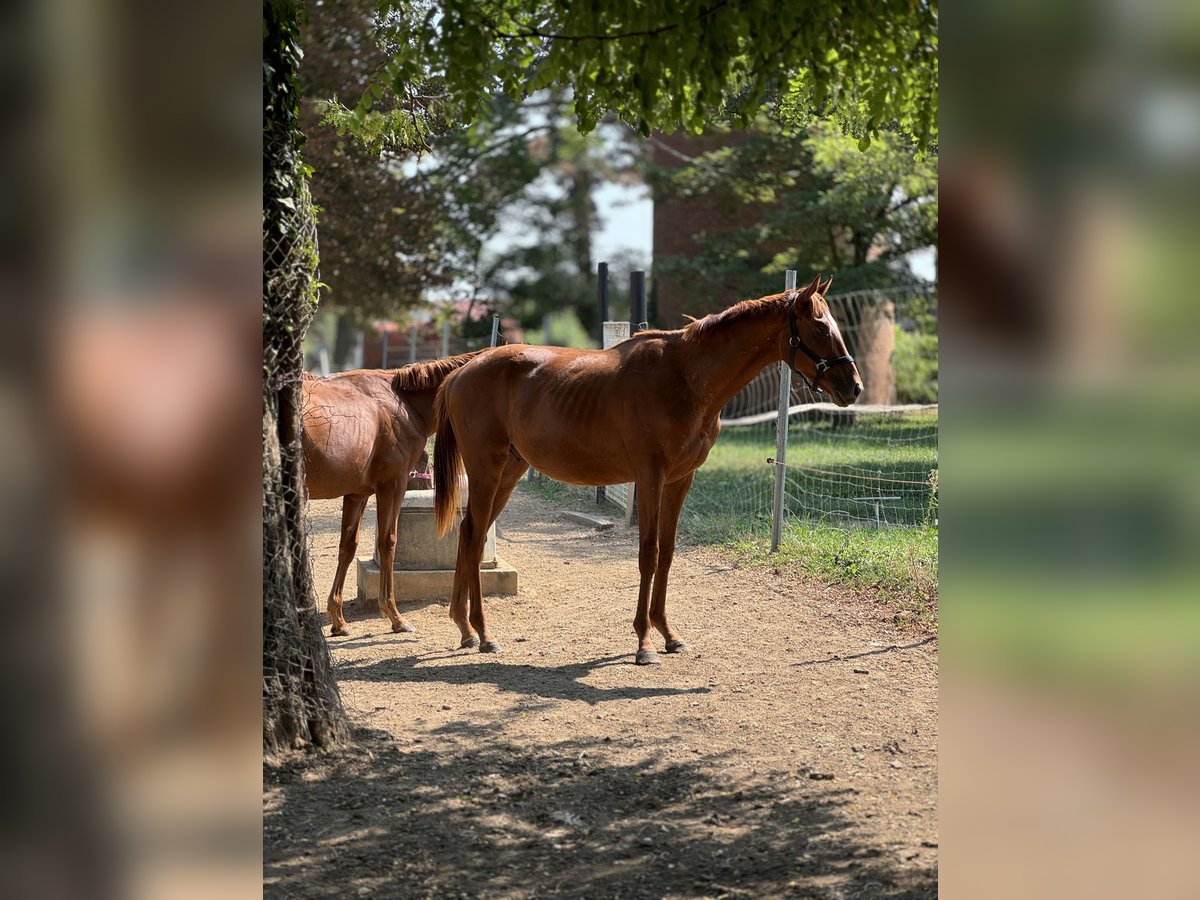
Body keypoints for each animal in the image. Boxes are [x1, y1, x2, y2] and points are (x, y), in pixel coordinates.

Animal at [302, 348, 484, 638]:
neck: (401, 402)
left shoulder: (357, 494)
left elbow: (347, 547)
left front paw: (338, 619)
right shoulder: (393, 485)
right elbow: (388, 543)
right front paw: (394, 615)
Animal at [436, 278, 859, 667]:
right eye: (821, 328)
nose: (853, 387)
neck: (685, 376)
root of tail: (461, 372)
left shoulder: (680, 480)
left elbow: (667, 552)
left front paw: (668, 634)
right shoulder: (650, 478)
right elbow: (648, 553)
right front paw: (644, 642)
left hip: (510, 471)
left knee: (468, 534)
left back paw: (465, 628)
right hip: (486, 471)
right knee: (474, 536)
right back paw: (484, 633)